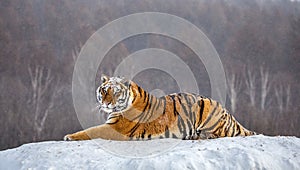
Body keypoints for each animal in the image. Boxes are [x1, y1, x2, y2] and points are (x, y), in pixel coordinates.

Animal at [63, 75, 255, 141]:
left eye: (116, 91)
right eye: (104, 90)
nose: (106, 103)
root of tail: (228, 113)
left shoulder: (114, 128)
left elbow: (91, 131)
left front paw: (69, 136)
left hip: (208, 111)